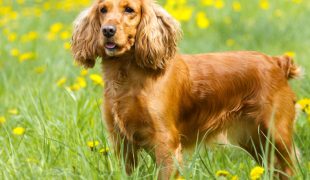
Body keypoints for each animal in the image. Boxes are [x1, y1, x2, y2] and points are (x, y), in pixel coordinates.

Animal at [71, 0, 300, 179]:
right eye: (103, 9)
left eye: (129, 9)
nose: (108, 30)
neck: (128, 77)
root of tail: (277, 62)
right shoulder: (121, 141)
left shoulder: (166, 142)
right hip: (254, 139)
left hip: (276, 133)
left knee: (290, 167)